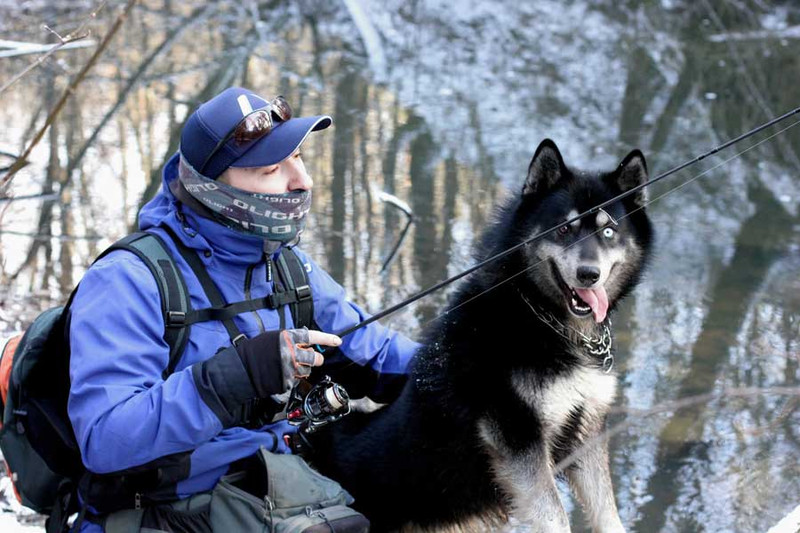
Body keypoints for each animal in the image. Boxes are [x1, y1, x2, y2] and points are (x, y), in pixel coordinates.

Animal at [310, 139, 652, 528]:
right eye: (564, 229)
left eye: (608, 231)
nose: (588, 274)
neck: (537, 316)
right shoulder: (518, 440)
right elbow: (555, 516)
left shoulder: (588, 432)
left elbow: (608, 514)